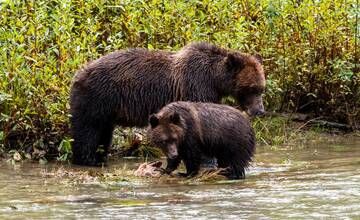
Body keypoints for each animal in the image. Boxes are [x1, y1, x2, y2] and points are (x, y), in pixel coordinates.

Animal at [69, 41, 264, 165]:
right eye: (252, 88)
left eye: (262, 88)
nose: (260, 110)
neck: (215, 79)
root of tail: (78, 73)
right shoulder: (196, 87)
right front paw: (209, 160)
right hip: (96, 98)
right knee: (87, 131)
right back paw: (87, 160)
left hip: (107, 109)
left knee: (103, 133)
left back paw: (100, 158)